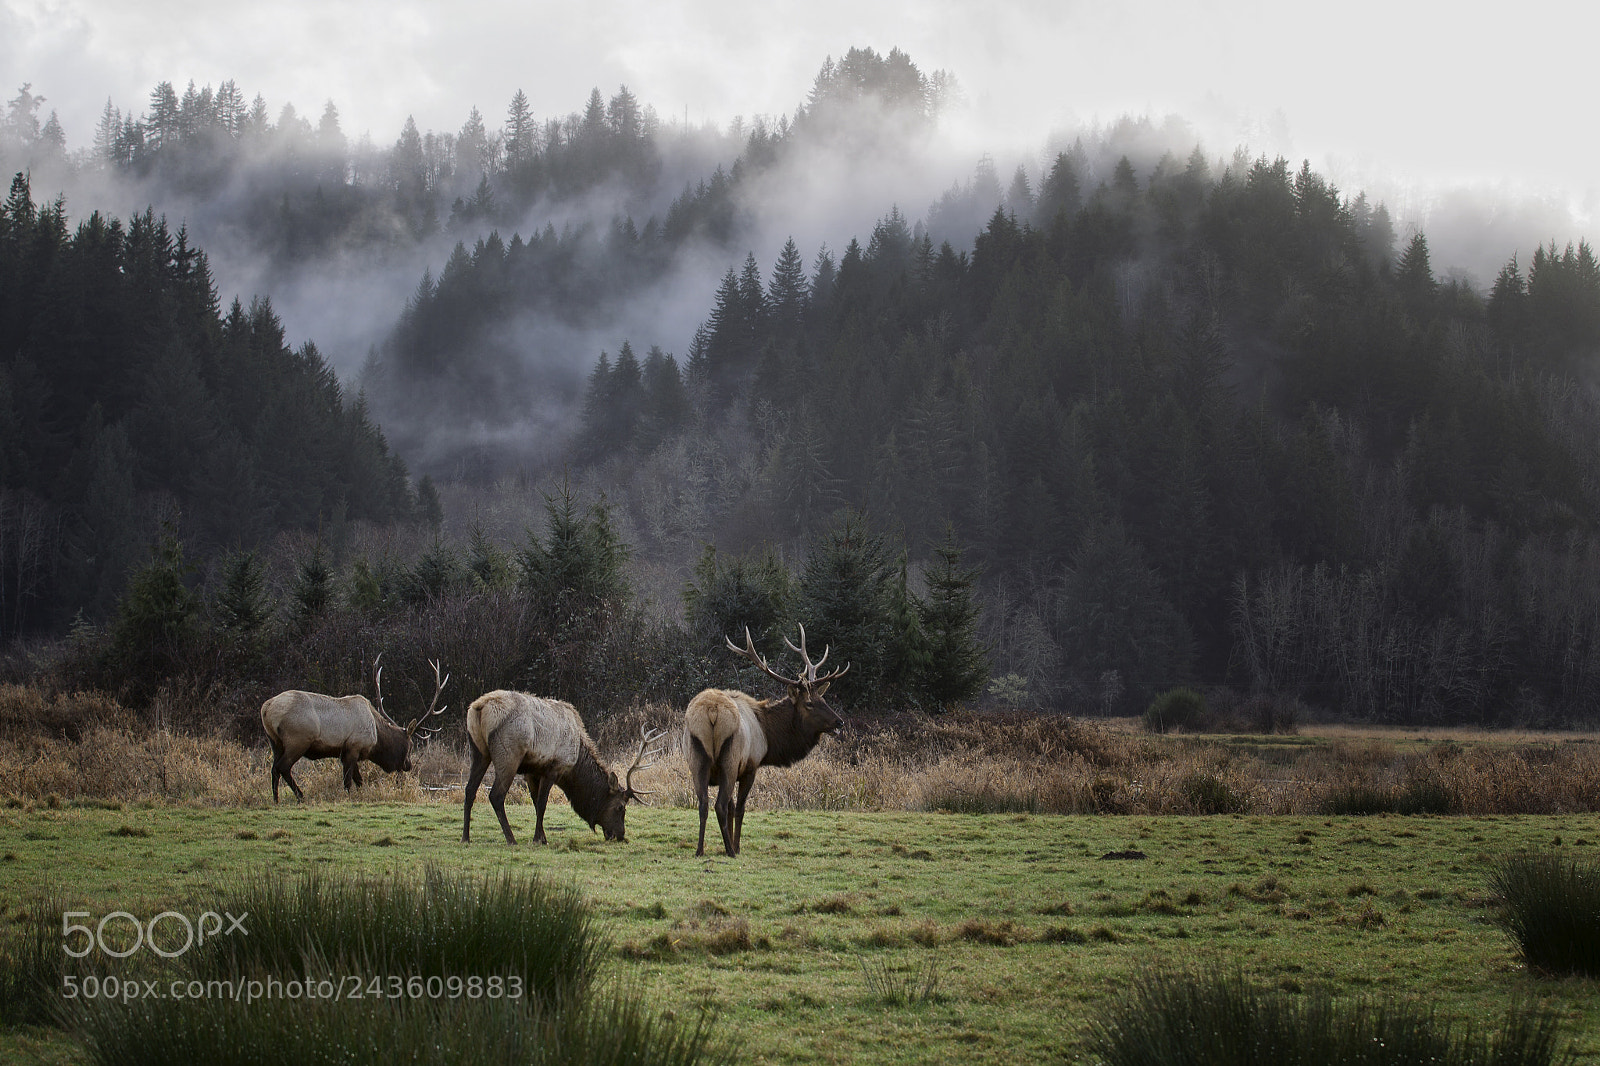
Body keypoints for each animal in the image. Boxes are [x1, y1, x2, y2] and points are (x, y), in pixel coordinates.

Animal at [261, 657, 449, 803]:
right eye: (409, 745)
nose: (408, 765)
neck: (376, 736)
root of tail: (266, 708)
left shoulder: (348, 752)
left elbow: (359, 780)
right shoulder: (353, 747)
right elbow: (348, 781)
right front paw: (349, 797)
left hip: (274, 741)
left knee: (274, 769)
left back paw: (275, 799)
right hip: (298, 740)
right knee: (283, 767)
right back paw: (300, 796)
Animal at [461, 689, 665, 845]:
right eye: (620, 807)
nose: (621, 835)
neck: (576, 764)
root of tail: (479, 708)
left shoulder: (531, 771)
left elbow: (535, 802)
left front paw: (542, 837)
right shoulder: (554, 768)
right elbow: (542, 804)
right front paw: (538, 839)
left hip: (478, 752)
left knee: (470, 790)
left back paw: (466, 837)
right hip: (509, 755)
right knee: (496, 795)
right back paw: (511, 839)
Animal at [685, 625, 849, 857]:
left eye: (823, 698)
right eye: (809, 703)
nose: (839, 722)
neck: (767, 733)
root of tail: (712, 711)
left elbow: (732, 807)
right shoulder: (750, 766)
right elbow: (739, 808)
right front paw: (737, 846)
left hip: (697, 759)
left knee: (703, 804)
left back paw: (700, 850)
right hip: (730, 759)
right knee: (720, 806)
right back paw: (730, 851)